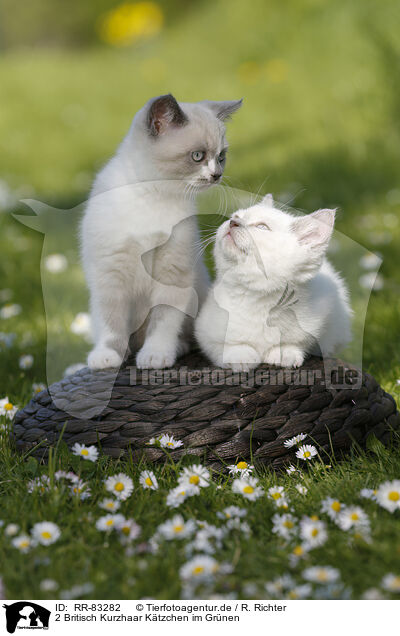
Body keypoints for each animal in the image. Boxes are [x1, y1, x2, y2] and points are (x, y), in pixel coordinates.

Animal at [80, 92, 241, 370]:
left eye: (221, 156)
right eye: (197, 156)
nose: (217, 175)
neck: (154, 194)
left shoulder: (173, 271)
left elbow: (163, 321)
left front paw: (155, 356)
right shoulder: (109, 273)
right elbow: (111, 321)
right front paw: (107, 357)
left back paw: (177, 347)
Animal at [195, 196, 352, 370]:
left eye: (262, 227)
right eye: (236, 216)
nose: (232, 222)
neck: (255, 298)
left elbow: (299, 342)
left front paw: (285, 352)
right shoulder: (204, 332)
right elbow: (222, 345)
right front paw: (239, 354)